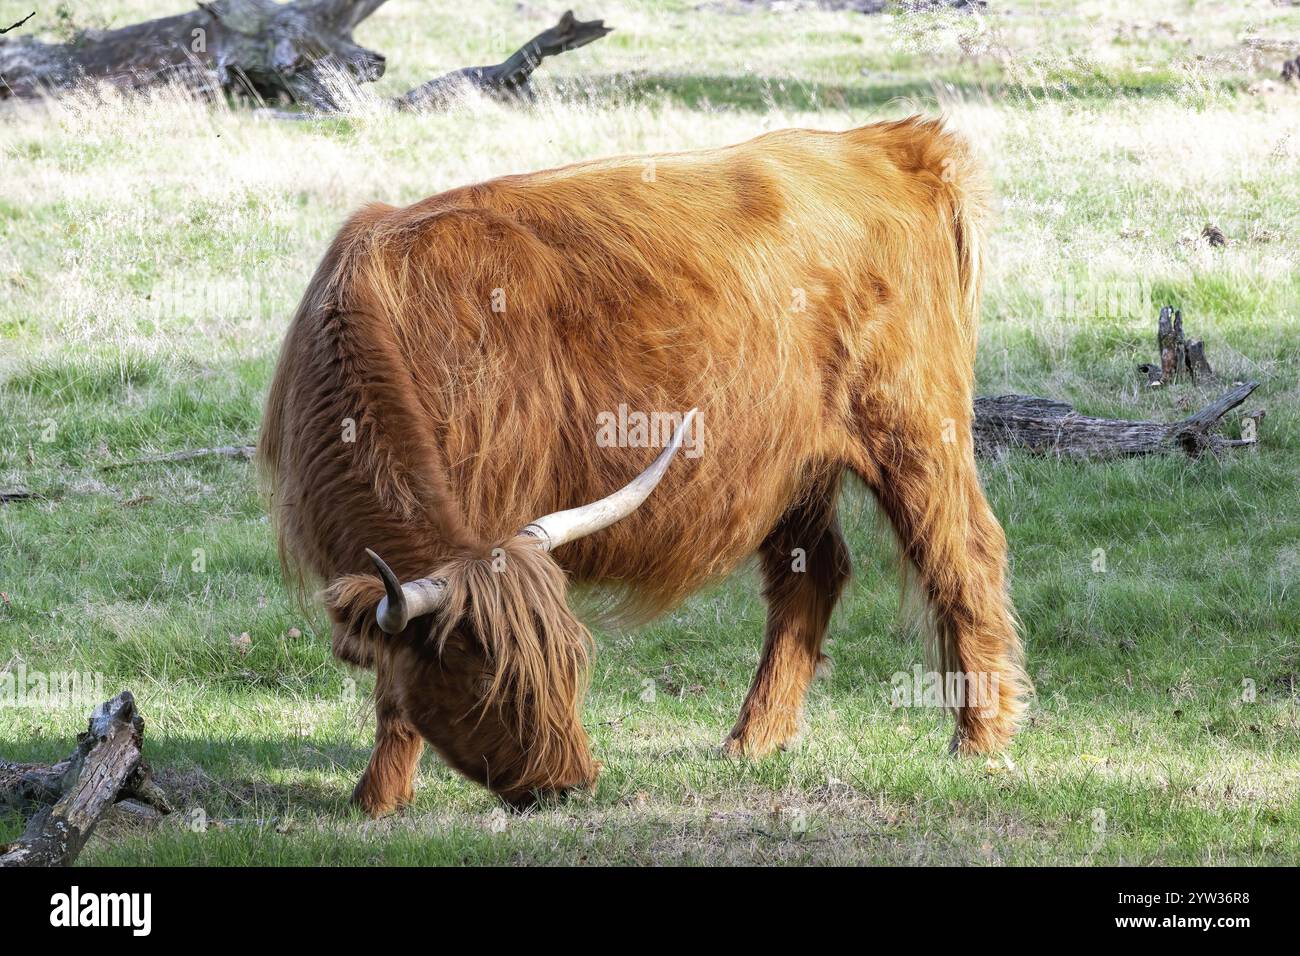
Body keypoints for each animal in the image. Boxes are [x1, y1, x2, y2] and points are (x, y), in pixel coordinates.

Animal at [258, 117, 1030, 815]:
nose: (569, 784)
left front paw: (377, 798)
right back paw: (753, 741)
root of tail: (894, 142)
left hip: (915, 430)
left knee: (964, 555)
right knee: (812, 574)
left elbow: (395, 694)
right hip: (790, 464)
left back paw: (980, 738)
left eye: (568, 668)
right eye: (485, 683)